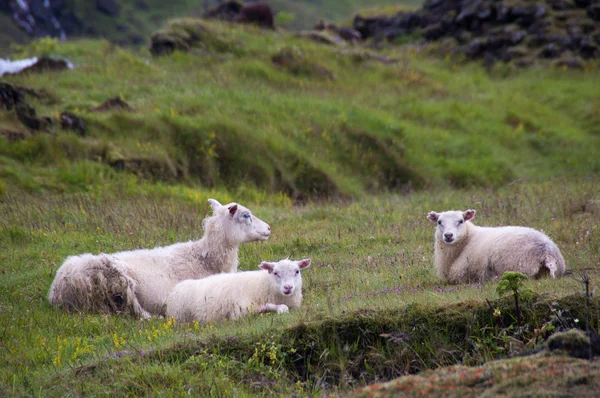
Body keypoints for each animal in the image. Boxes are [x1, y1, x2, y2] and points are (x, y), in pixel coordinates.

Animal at [166, 258, 312, 324]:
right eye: (276, 273)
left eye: (297, 271)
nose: (288, 287)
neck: (264, 284)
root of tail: (175, 288)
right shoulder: (240, 311)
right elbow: (274, 306)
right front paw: (278, 309)